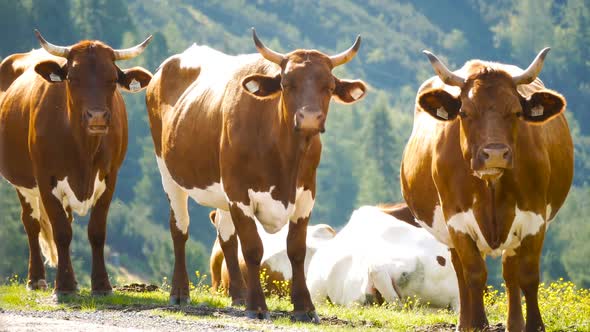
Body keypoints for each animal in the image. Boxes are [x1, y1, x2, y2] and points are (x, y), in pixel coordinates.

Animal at [0, 30, 153, 296]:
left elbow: (96, 231)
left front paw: (101, 285)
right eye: (72, 78)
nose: (97, 117)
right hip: (22, 183)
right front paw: (64, 286)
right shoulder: (45, 179)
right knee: (31, 223)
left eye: (112, 79)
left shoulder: (110, 178)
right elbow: (61, 231)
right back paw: (36, 279)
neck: (84, 150)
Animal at [146, 29, 368, 322]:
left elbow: (296, 249)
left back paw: (239, 295)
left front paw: (304, 307)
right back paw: (180, 293)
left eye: (329, 86)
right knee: (180, 229)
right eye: (286, 84)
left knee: (226, 235)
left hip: (221, 191)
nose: (309, 118)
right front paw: (258, 306)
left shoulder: (306, 194)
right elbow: (252, 248)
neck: (284, 157)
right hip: (169, 175)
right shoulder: (239, 192)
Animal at [402, 50, 572, 332]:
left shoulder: (534, 218)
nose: (494, 154)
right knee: (461, 273)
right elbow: (474, 274)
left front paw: (535, 325)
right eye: (465, 112)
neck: (491, 185)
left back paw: (514, 323)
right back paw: (465, 323)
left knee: (510, 270)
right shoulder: (456, 220)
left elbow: (527, 275)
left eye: (516, 112)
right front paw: (478, 323)